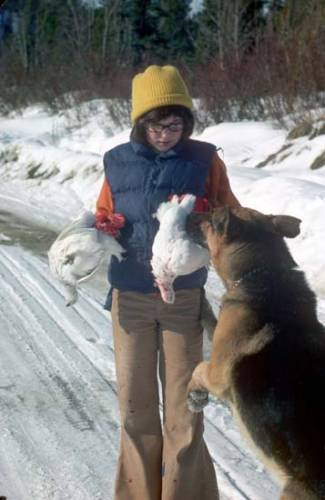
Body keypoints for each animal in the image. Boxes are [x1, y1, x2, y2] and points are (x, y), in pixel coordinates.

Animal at [185, 206, 324, 500]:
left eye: (210, 219)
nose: (189, 212)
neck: (264, 272)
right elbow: (211, 323)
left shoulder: (217, 371)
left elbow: (198, 369)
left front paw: (195, 396)